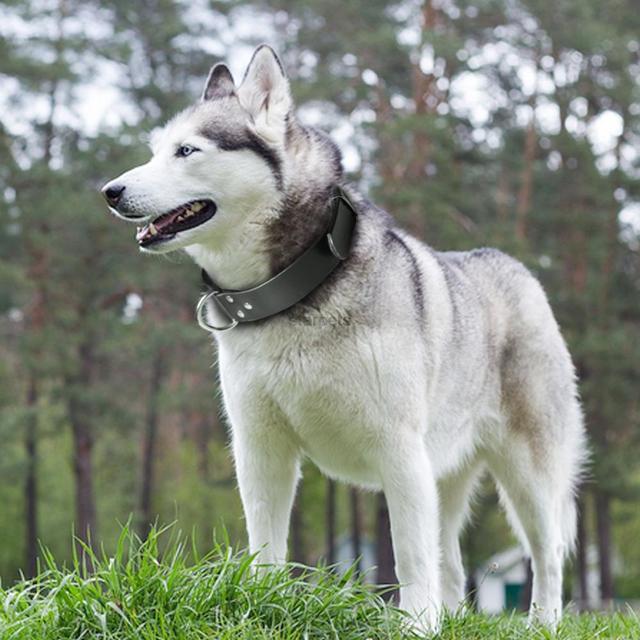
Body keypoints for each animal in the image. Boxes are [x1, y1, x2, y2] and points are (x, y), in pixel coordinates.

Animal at [102, 46, 588, 636]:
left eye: (187, 150)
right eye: (154, 152)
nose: (110, 191)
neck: (292, 293)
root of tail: (516, 269)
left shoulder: (399, 451)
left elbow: (409, 557)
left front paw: (415, 625)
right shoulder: (259, 446)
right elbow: (266, 545)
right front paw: (259, 607)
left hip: (528, 472)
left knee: (547, 554)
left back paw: (543, 621)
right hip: (446, 475)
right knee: (452, 563)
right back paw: (452, 617)